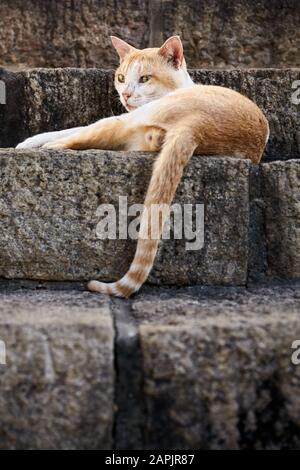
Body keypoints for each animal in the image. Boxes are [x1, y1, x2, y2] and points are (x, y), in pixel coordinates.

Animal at [16, 35, 270, 298]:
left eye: (145, 79)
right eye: (121, 78)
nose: (126, 95)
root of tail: (197, 128)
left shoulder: (124, 120)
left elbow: (72, 129)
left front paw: (29, 142)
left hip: (129, 119)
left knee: (79, 135)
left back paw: (49, 146)